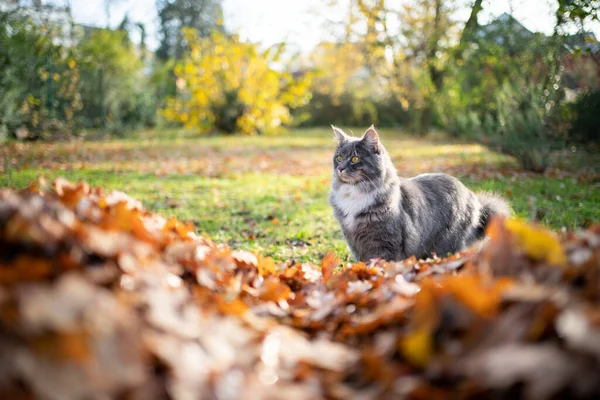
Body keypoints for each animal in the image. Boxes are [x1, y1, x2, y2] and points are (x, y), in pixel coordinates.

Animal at [328, 126, 510, 262]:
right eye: (339, 158)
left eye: (354, 159)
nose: (340, 168)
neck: (354, 193)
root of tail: (474, 198)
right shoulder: (355, 243)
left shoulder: (384, 243)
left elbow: (382, 264)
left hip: (446, 244)